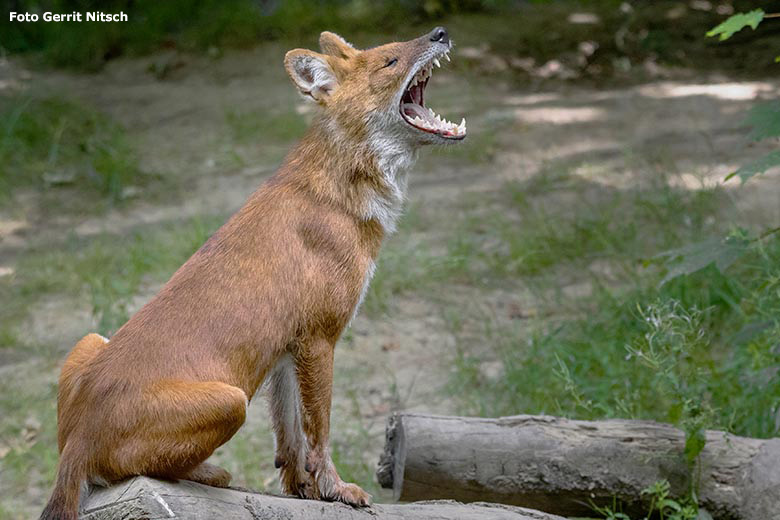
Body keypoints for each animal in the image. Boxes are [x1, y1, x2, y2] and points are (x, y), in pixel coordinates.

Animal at [41, 28, 464, 520]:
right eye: (390, 60)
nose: (440, 33)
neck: (342, 190)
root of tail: (76, 446)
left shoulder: (287, 347)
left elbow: (290, 433)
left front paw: (301, 488)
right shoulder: (320, 339)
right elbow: (319, 430)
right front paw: (337, 489)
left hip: (89, 341)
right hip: (231, 399)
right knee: (132, 467)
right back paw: (210, 473)